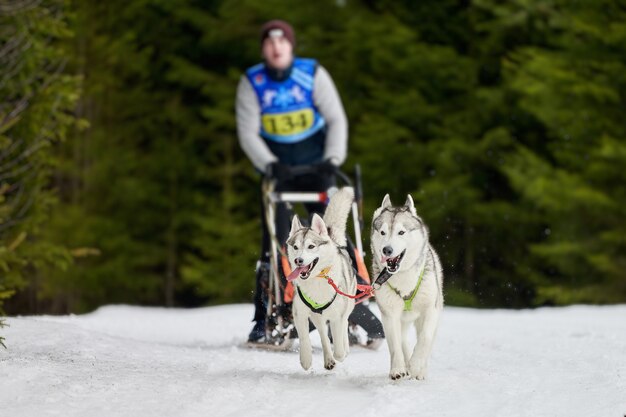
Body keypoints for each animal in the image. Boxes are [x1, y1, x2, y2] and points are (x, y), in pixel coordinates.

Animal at [284, 187, 354, 368]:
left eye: (311, 246)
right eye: (295, 247)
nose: (298, 260)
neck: (317, 280)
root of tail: (335, 242)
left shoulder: (337, 316)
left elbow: (338, 346)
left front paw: (340, 354)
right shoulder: (299, 312)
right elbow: (304, 337)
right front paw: (306, 359)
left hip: (348, 305)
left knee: (343, 326)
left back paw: (343, 350)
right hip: (317, 317)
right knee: (322, 333)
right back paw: (328, 359)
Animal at [370, 193, 444, 378]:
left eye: (401, 232)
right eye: (382, 232)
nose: (387, 250)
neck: (403, 278)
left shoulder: (430, 310)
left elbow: (425, 338)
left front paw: (417, 366)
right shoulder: (389, 315)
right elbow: (395, 345)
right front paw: (398, 369)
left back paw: (419, 369)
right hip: (401, 320)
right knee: (402, 340)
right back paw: (406, 365)